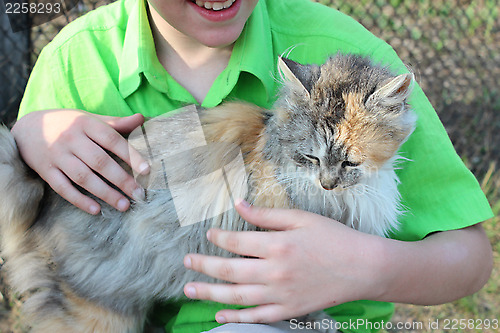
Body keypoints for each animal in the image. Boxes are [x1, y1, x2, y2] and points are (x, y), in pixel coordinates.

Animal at [0, 53, 416, 330]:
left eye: (350, 162)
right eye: (310, 157)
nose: (327, 183)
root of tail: (43, 199)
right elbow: (300, 305)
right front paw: (316, 322)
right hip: (97, 313)